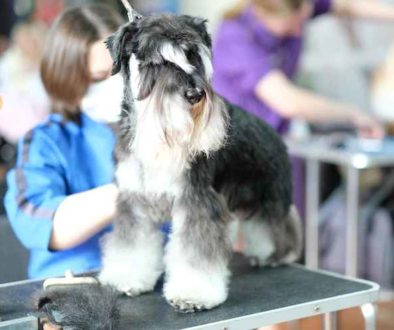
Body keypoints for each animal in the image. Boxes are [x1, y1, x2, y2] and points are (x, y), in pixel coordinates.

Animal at [37, 12, 302, 328]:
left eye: (194, 56)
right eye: (156, 61)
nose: (195, 94)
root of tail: (274, 135)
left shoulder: (197, 203)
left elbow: (195, 253)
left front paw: (194, 295)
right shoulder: (134, 201)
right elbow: (132, 244)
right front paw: (127, 276)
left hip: (268, 195)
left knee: (277, 222)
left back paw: (278, 253)